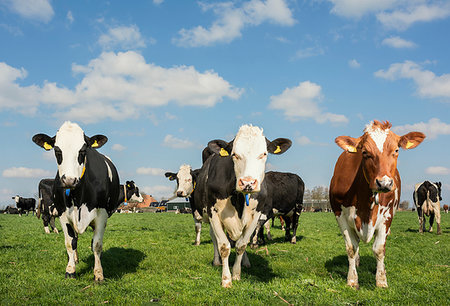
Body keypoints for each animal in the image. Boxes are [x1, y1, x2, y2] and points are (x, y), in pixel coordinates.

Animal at [32, 120, 120, 280]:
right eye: (57, 151)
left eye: (83, 150)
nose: (69, 180)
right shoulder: (63, 214)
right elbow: (70, 242)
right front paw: (70, 269)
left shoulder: (102, 214)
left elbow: (96, 244)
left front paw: (98, 274)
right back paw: (75, 258)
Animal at [193, 124, 292, 286]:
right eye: (234, 154)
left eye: (264, 154)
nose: (247, 182)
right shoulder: (214, 213)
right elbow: (224, 246)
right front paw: (226, 279)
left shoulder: (256, 214)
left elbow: (241, 245)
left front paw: (236, 274)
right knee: (214, 238)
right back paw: (216, 261)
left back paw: (245, 262)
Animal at [328, 120, 424, 288]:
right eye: (365, 152)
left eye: (396, 150)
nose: (384, 183)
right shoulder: (340, 215)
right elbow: (351, 248)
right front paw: (352, 279)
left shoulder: (387, 216)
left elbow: (379, 249)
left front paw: (381, 280)